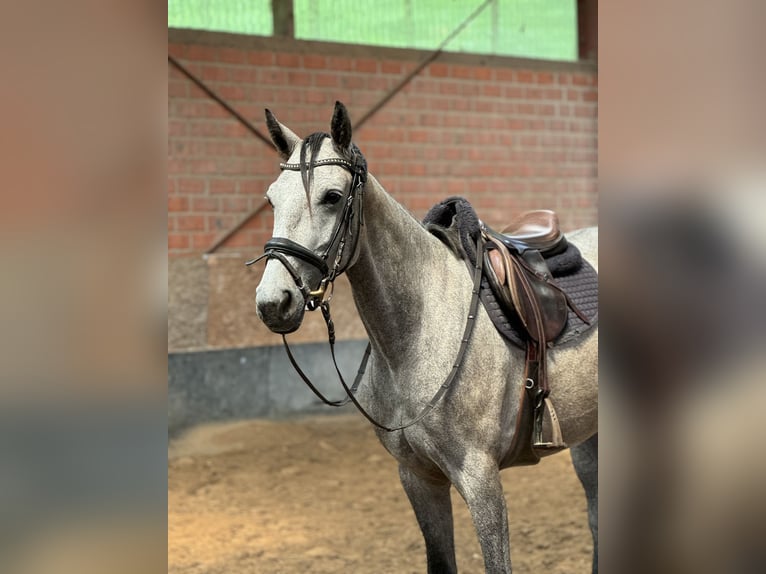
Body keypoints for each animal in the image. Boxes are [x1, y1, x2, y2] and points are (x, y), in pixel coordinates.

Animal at [255, 103, 596, 574]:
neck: (417, 329)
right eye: (271, 199)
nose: (274, 302)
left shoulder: (480, 479)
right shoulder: (418, 478)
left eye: (333, 197)